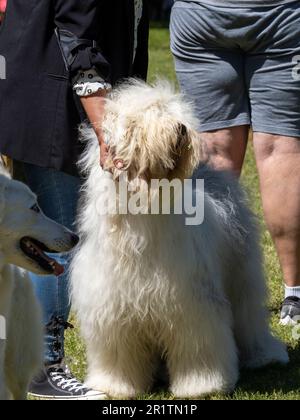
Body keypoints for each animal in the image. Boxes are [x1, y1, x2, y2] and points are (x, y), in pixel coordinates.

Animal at [70, 80, 288, 398]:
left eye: (172, 110)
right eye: (145, 116)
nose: (181, 128)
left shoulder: (191, 304)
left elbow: (198, 348)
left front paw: (202, 386)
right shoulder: (111, 310)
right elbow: (118, 355)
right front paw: (114, 386)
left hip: (241, 276)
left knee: (249, 319)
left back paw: (265, 355)